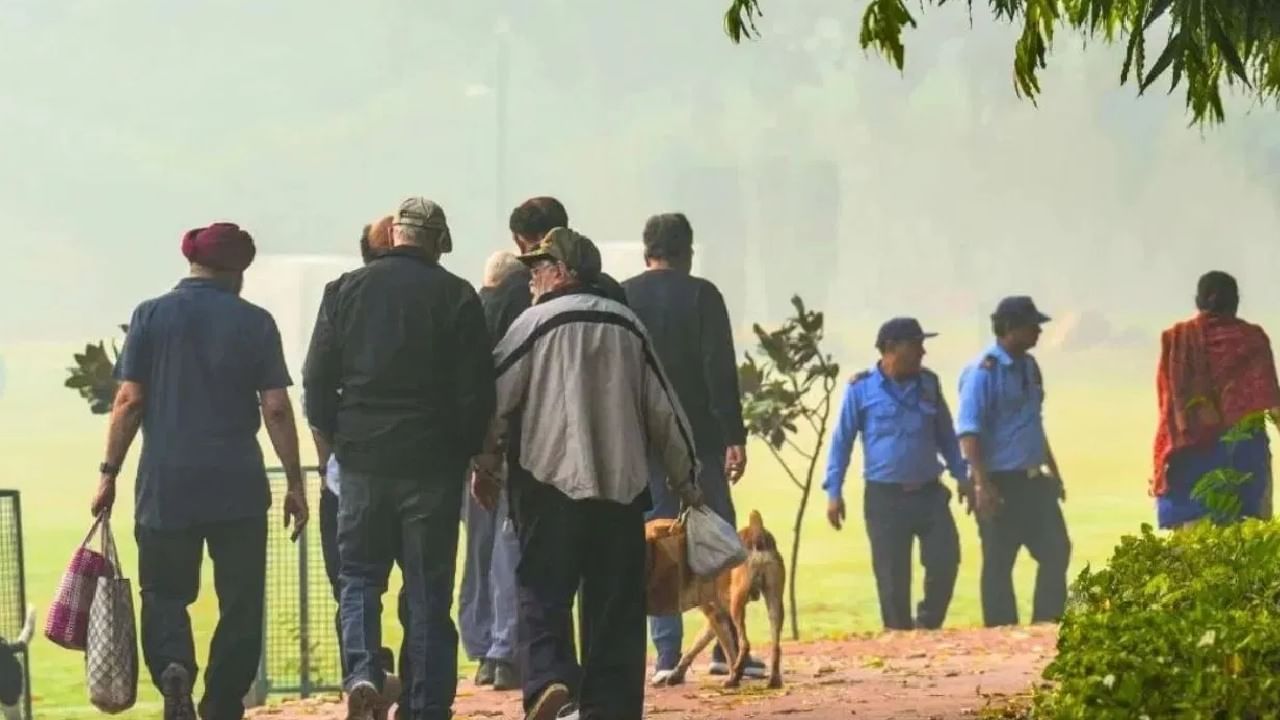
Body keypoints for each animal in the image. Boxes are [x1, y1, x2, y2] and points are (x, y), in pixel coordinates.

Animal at [665, 507, 783, 686]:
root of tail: (756, 533)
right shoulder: (715, 617)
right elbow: (696, 645)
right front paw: (677, 673)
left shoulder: (716, 616)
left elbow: (730, 653)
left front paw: (735, 675)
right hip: (775, 604)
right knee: (776, 645)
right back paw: (774, 680)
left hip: (737, 606)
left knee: (744, 644)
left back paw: (733, 679)